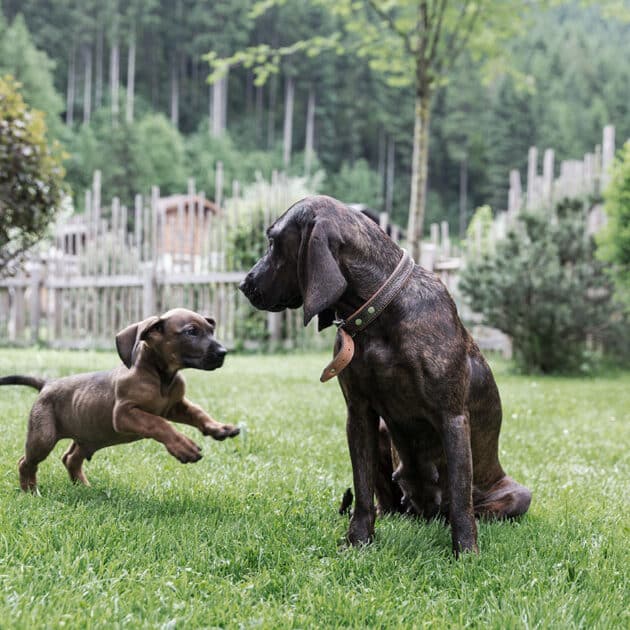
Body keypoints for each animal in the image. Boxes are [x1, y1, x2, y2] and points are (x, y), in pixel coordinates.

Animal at [1, 308, 238, 496]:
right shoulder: (124, 414)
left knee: (70, 459)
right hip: (43, 438)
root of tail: (47, 383)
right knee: (26, 463)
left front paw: (218, 428)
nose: (223, 353)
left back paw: (84, 487)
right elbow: (159, 424)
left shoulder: (173, 406)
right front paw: (183, 447)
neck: (160, 376)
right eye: (191, 331)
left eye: (211, 330)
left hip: (88, 436)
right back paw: (30, 491)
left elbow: (198, 412)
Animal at [242, 195, 532, 556]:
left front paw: (466, 553)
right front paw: (358, 542)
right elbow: (362, 490)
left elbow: (461, 500)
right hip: (383, 435)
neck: (380, 313)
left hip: (518, 494)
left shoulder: (452, 417)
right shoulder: (360, 414)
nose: (244, 284)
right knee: (388, 504)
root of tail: (424, 514)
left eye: (273, 241)